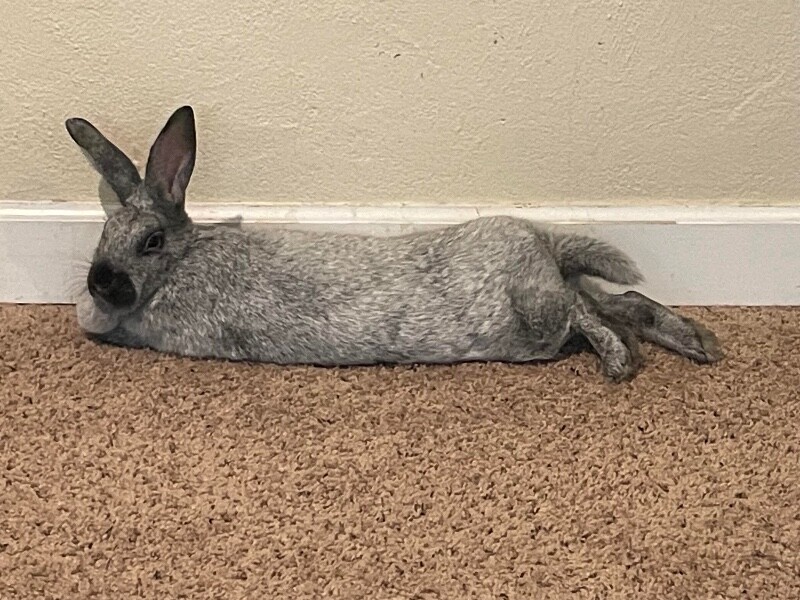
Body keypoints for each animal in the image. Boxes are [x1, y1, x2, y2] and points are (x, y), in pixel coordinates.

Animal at [65, 106, 722, 381]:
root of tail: (542, 243)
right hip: (549, 298)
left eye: (150, 241)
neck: (180, 263)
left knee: (586, 312)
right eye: (103, 234)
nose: (99, 283)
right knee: (620, 300)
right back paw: (700, 343)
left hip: (536, 315)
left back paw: (620, 363)